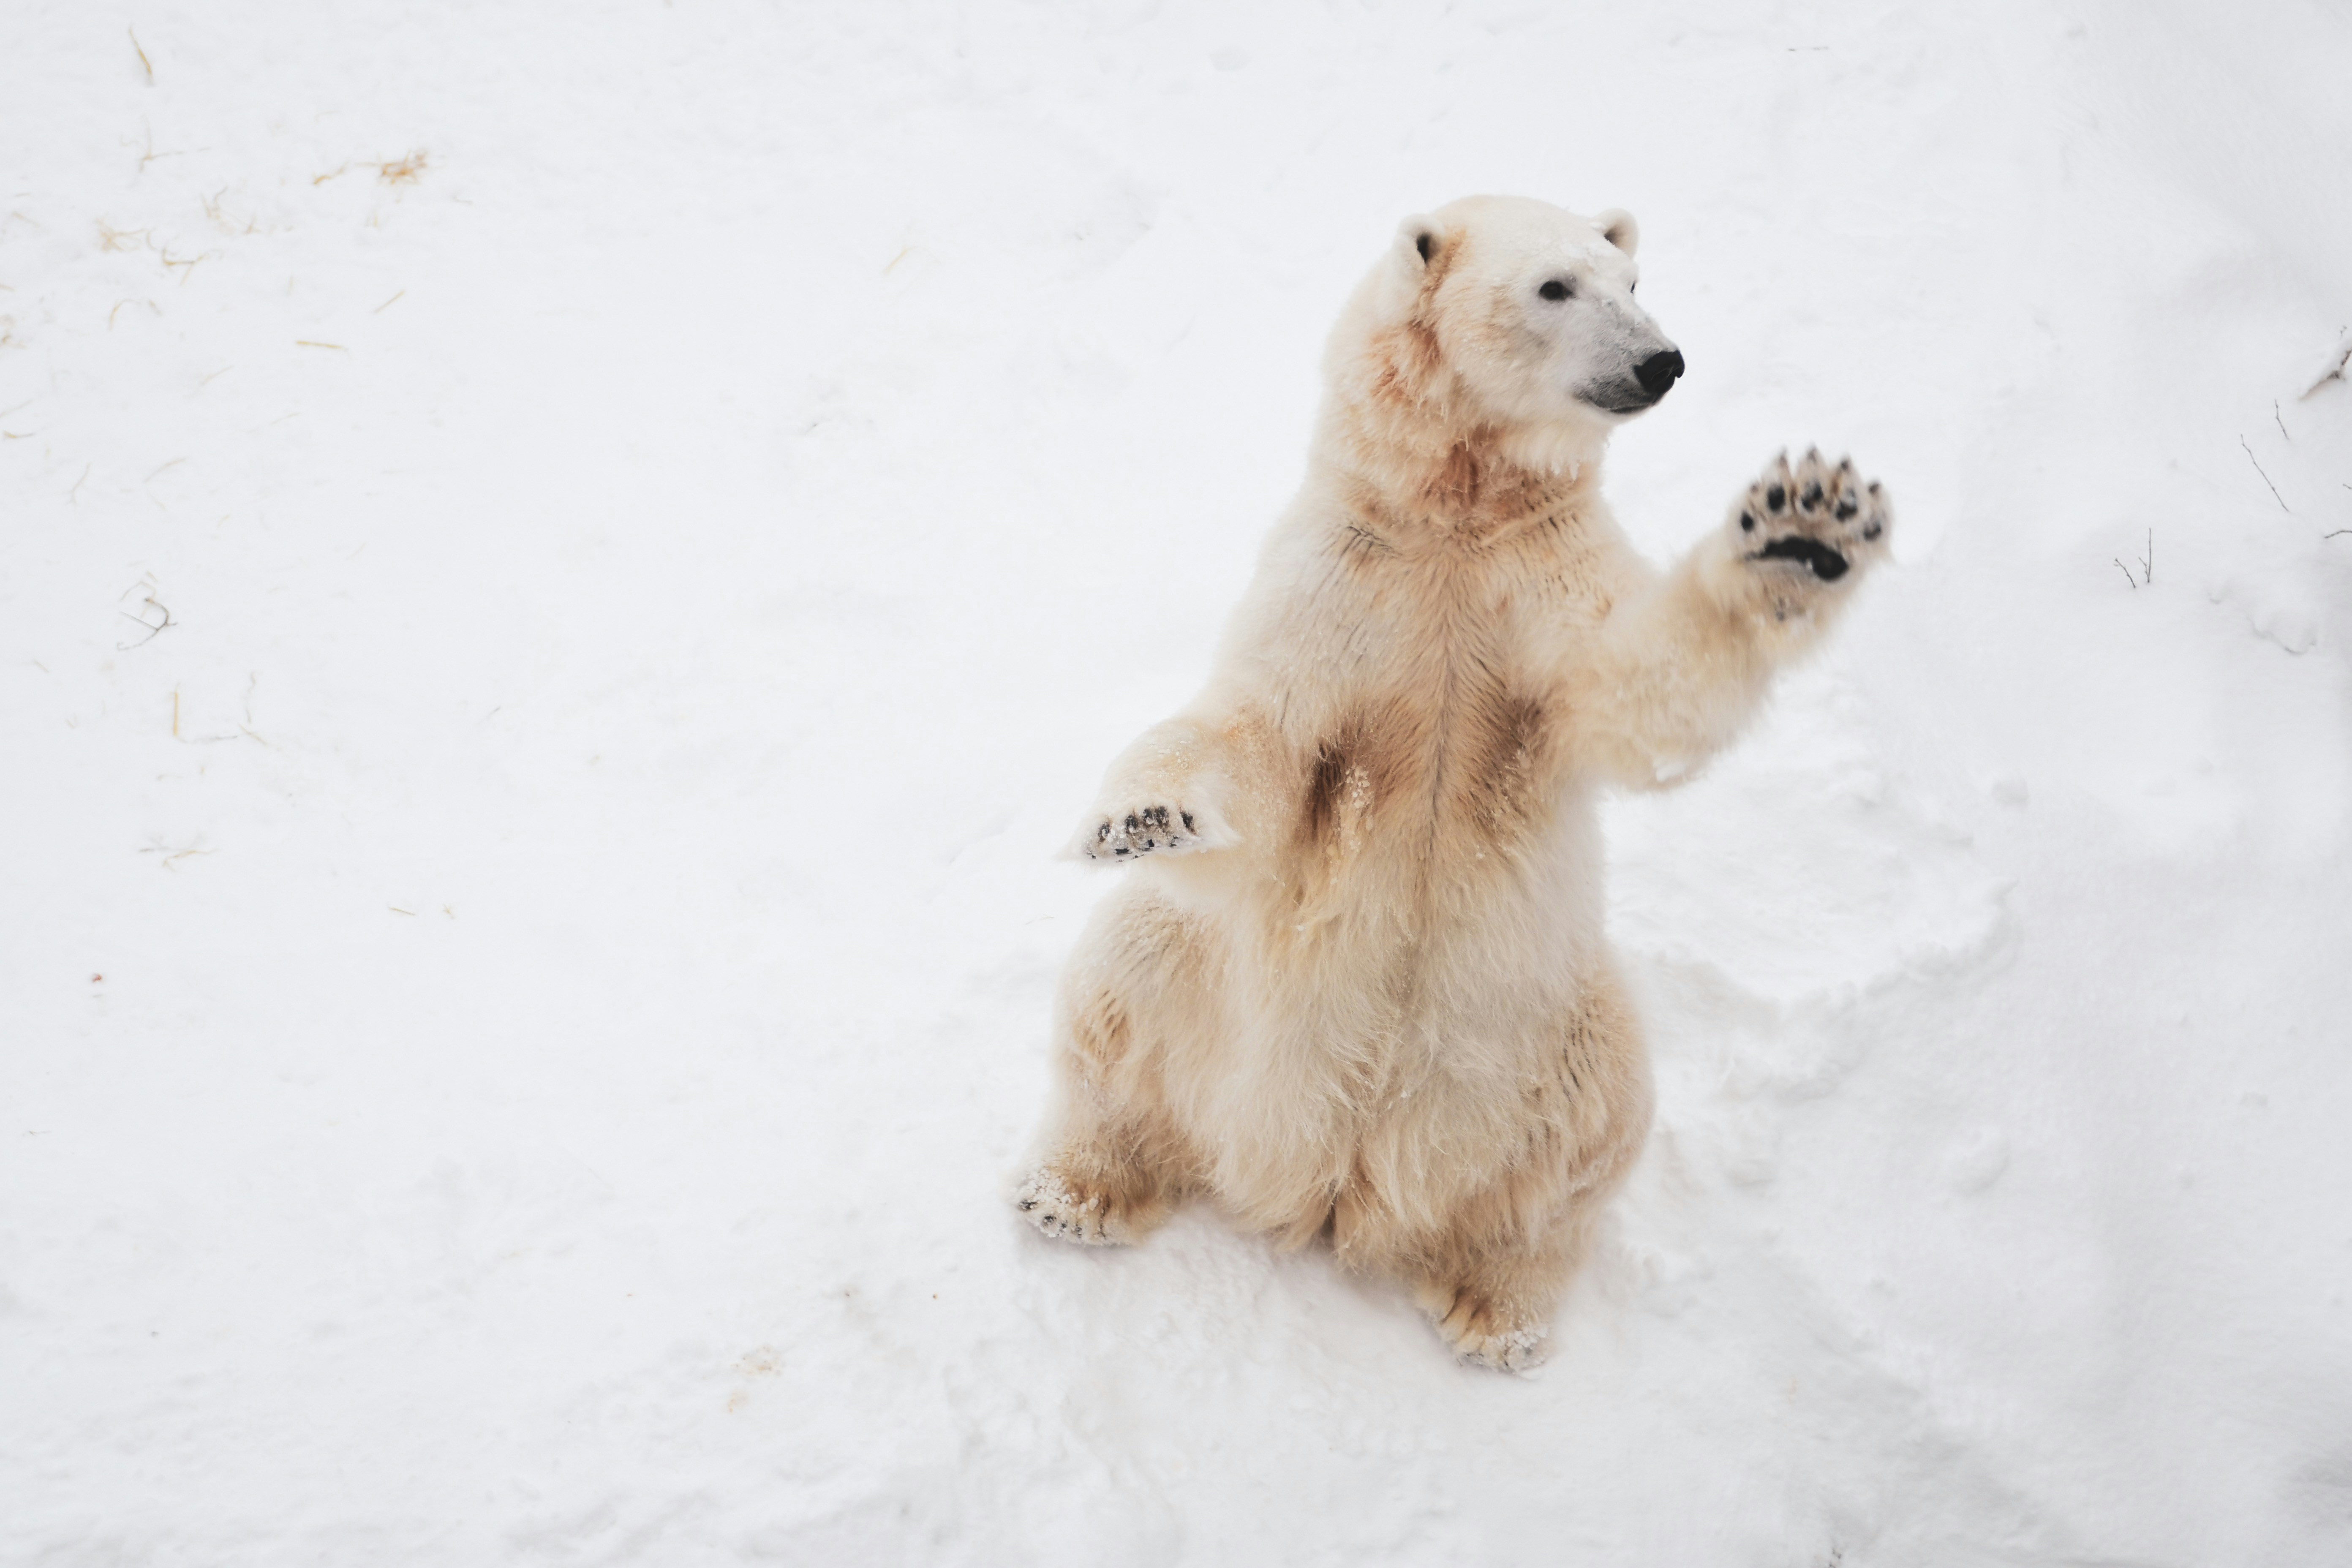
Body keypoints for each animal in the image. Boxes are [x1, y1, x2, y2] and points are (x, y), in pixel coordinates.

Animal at [1014, 194, 1892, 1370]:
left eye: (1632, 280)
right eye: (1555, 287)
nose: (1660, 360)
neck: (1454, 517)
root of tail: (1341, 1184)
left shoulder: (1542, 578)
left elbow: (1637, 688)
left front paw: (1803, 531)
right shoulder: (1343, 576)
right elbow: (1256, 740)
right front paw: (1143, 813)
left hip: (1554, 1029)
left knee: (1586, 1142)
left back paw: (1496, 1307)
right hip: (1217, 997)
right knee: (1127, 973)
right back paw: (1073, 1191)